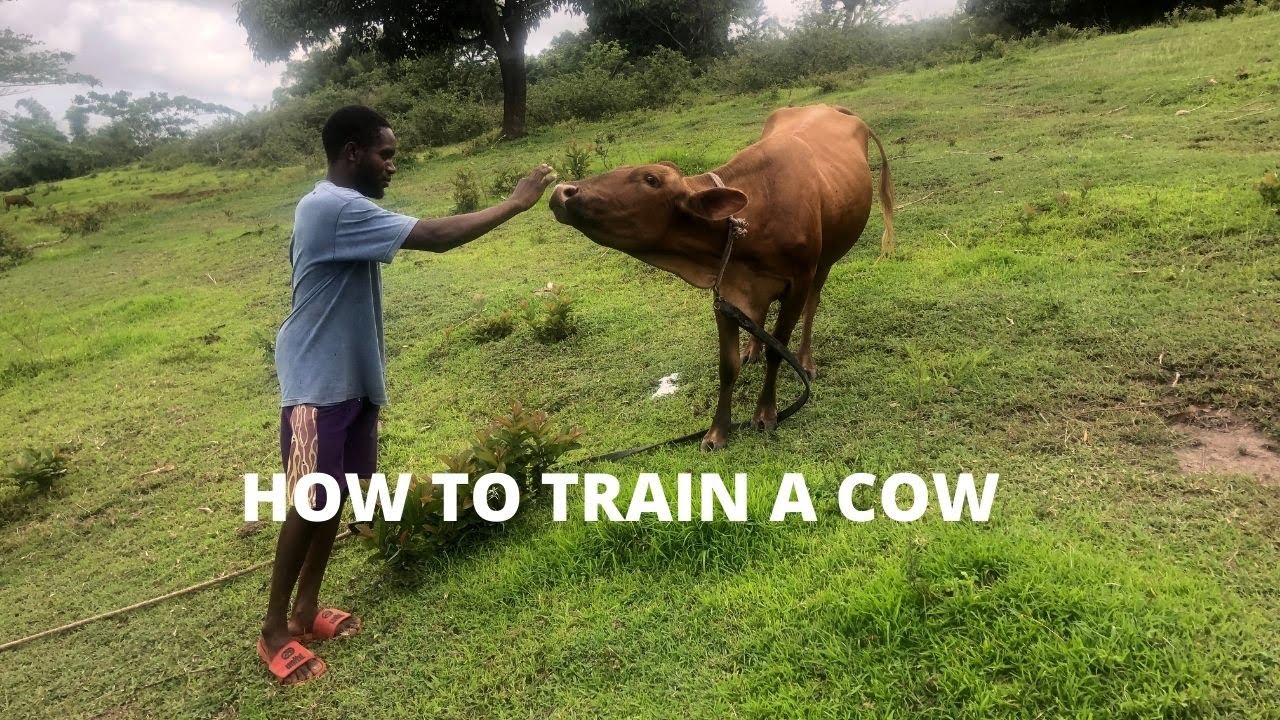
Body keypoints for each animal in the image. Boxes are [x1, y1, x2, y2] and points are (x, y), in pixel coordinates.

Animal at [549, 104, 895, 451]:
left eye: (651, 179)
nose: (563, 191)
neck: (751, 219)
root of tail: (830, 107)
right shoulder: (725, 292)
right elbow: (727, 365)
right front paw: (717, 432)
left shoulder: (798, 282)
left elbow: (777, 350)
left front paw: (765, 412)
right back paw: (752, 349)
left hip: (825, 263)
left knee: (812, 305)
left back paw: (805, 360)